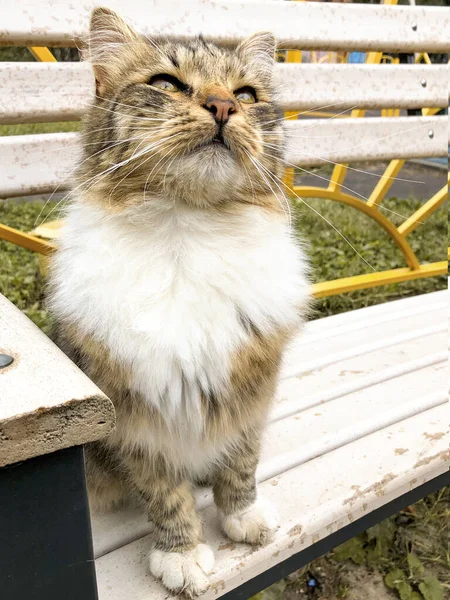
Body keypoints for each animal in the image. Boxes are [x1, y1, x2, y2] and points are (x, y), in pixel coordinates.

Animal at [49, 7, 310, 596]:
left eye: (247, 94)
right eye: (167, 84)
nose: (223, 107)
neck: (188, 231)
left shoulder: (250, 390)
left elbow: (241, 464)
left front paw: (243, 517)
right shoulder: (136, 415)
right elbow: (165, 496)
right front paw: (183, 555)